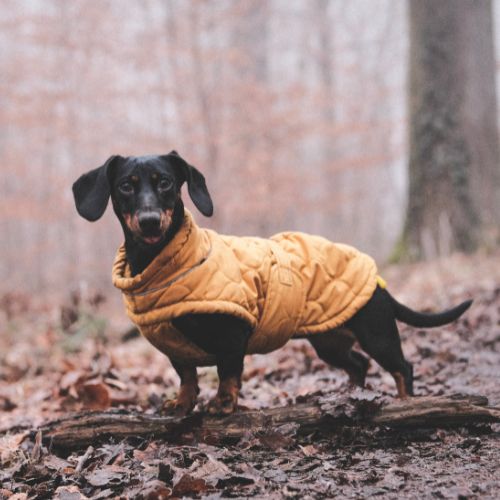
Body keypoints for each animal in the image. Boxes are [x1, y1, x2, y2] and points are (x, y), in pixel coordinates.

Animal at [72, 151, 470, 414]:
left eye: (165, 183)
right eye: (126, 186)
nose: (150, 220)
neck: (165, 264)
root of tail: (378, 282)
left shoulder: (232, 334)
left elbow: (227, 372)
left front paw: (223, 403)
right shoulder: (175, 350)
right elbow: (187, 376)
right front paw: (182, 404)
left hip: (378, 333)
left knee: (402, 368)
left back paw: (405, 402)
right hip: (329, 341)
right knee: (358, 365)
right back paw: (349, 395)